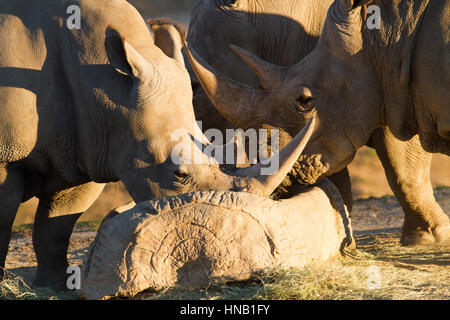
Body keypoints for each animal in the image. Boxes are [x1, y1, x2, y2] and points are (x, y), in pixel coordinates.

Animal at [0, 0, 312, 290]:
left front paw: (54, 286)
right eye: (180, 174)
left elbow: (56, 227)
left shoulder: (86, 148)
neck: (104, 86)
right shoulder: (9, 157)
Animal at [180, 0, 450, 245]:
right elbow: (335, 167)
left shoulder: (389, 87)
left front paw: (426, 239)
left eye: (195, 87)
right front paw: (339, 226)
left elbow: (402, 168)